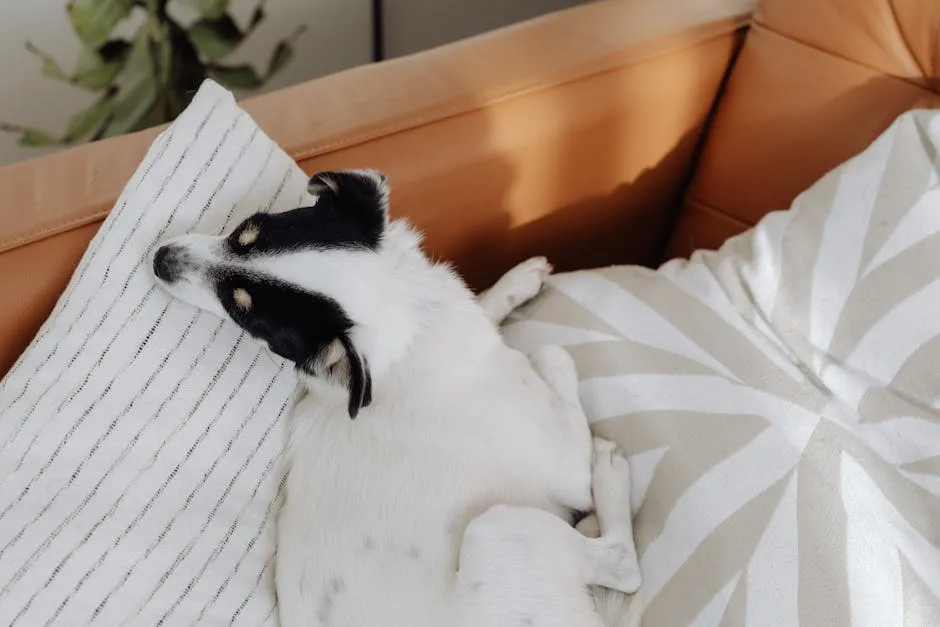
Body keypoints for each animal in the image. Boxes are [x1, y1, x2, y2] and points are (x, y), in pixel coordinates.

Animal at [152, 168, 640, 627]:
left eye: (246, 229)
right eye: (244, 313)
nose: (159, 259)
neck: (415, 331)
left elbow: (487, 305)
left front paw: (516, 283)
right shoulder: (566, 470)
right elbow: (553, 355)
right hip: (502, 527)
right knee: (623, 566)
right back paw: (611, 480)